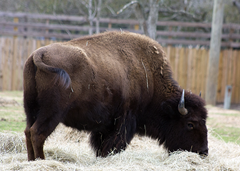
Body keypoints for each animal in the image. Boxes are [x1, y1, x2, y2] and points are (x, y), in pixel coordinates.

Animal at [23, 30, 208, 160]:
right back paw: (41, 161)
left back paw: (31, 161)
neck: (150, 80)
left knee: (28, 132)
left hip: (31, 109)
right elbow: (113, 145)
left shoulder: (104, 126)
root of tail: (39, 54)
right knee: (37, 133)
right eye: (190, 123)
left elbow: (101, 145)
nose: (203, 152)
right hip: (52, 112)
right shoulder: (124, 120)